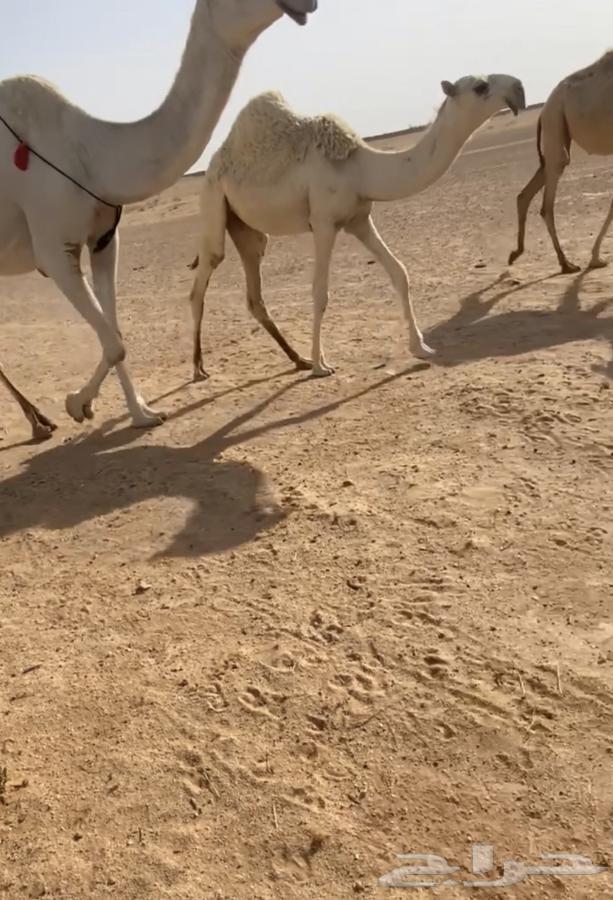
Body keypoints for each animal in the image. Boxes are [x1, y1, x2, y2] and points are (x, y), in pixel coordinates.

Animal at [0, 0, 317, 442]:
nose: (308, 3)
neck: (90, 155)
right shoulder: (54, 247)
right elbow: (114, 342)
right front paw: (77, 404)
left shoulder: (104, 241)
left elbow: (115, 334)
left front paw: (141, 413)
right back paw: (39, 420)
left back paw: (38, 420)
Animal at [188, 73, 526, 380]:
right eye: (480, 86)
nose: (519, 89)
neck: (361, 169)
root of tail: (214, 163)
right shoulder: (324, 222)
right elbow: (320, 291)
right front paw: (322, 365)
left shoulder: (359, 219)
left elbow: (399, 272)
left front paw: (421, 347)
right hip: (213, 201)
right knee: (204, 276)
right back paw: (199, 368)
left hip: (246, 228)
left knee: (254, 287)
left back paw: (298, 360)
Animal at [509, 50, 613, 274]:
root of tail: (542, 110)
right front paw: (595, 258)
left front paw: (596, 257)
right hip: (554, 121)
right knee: (547, 203)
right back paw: (566, 263)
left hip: (554, 131)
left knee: (526, 193)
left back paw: (516, 253)